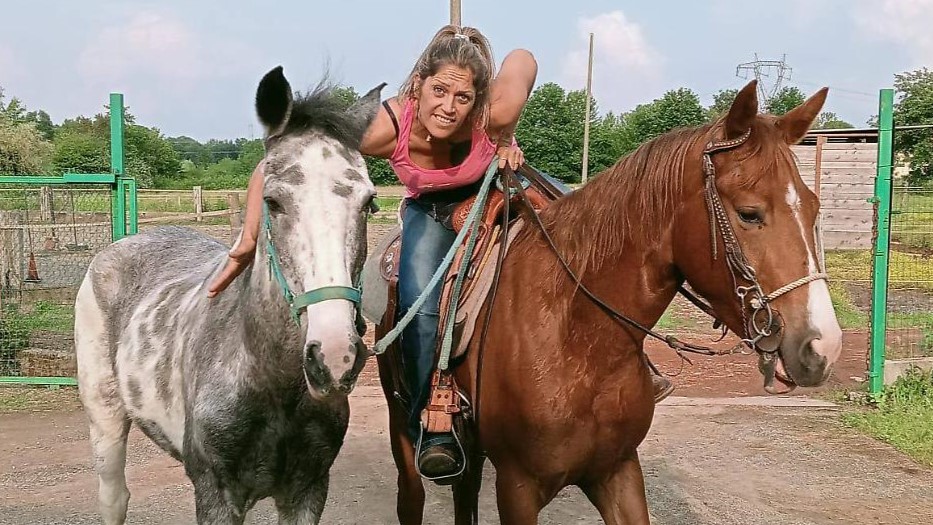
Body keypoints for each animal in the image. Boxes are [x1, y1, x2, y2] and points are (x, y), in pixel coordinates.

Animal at [74, 66, 384, 525]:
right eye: (272, 201)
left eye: (369, 203)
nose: (334, 357)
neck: (269, 382)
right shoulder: (216, 495)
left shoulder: (308, 491)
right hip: (104, 416)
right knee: (114, 497)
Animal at [371, 80, 844, 524]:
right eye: (749, 213)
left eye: (814, 207)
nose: (822, 345)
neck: (577, 338)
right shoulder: (518, 486)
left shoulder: (617, 471)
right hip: (403, 429)